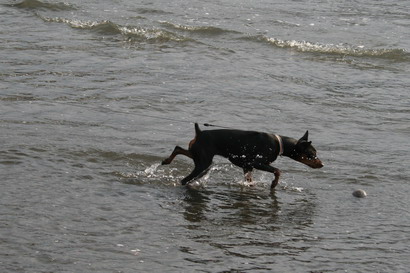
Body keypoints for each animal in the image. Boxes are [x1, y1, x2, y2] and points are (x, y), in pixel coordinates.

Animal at [162, 122, 322, 188]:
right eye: (311, 154)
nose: (322, 164)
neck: (280, 143)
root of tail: (199, 133)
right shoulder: (256, 163)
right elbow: (278, 171)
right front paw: (274, 184)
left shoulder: (247, 166)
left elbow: (249, 180)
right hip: (203, 163)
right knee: (185, 179)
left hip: (198, 155)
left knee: (179, 148)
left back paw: (166, 161)